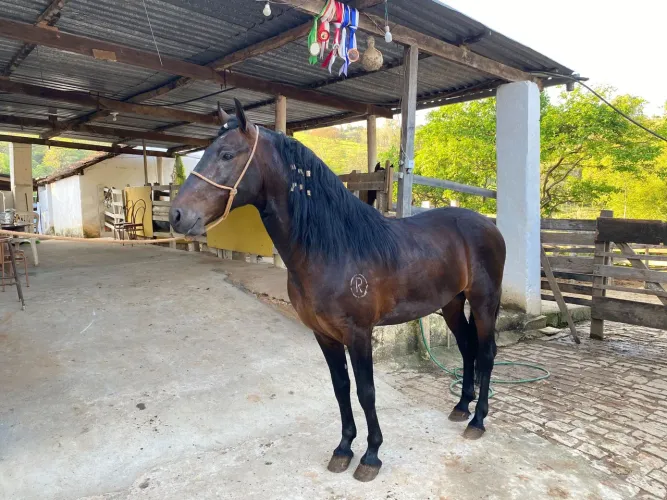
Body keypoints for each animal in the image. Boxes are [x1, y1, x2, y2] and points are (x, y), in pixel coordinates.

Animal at [169, 99, 506, 482]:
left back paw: (477, 421)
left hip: (484, 302)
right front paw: (344, 449)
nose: (177, 215)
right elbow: (341, 388)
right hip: (451, 304)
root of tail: (489, 224)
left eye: (226, 154)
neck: (333, 248)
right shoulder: (324, 334)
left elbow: (366, 391)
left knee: (486, 353)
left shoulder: (358, 334)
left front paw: (371, 455)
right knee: (466, 348)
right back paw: (461, 407)